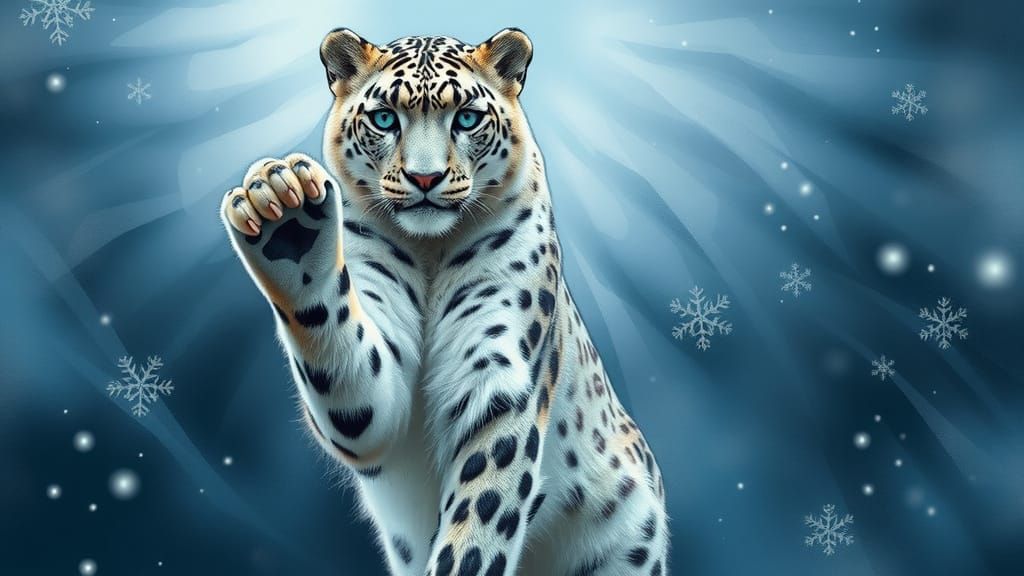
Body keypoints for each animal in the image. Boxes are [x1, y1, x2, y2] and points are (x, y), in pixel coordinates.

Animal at [220, 27, 669, 576]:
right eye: (384, 118)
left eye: (467, 118)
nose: (425, 178)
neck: (431, 252)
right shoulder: (376, 386)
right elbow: (347, 371)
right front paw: (283, 210)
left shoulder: (500, 379)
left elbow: (478, 521)